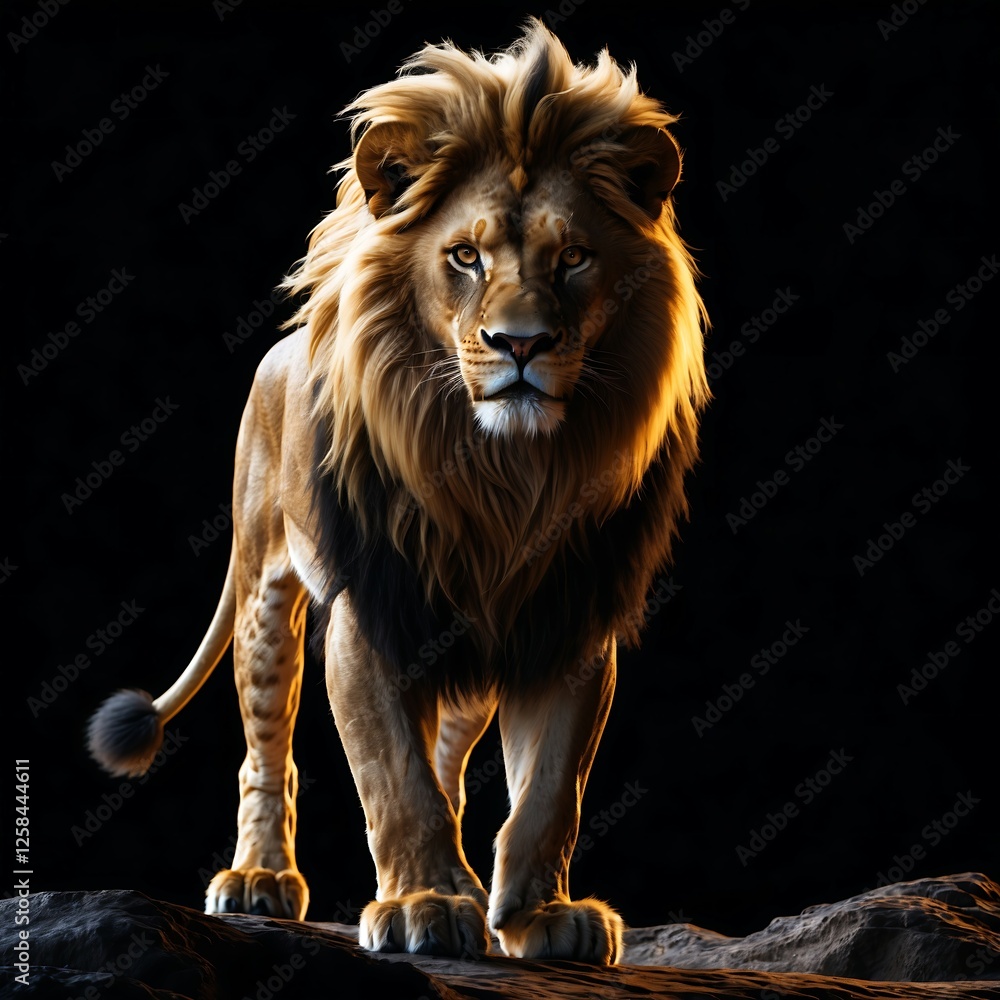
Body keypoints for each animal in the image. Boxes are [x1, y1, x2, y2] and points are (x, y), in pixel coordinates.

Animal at [86, 20, 708, 965]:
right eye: (464, 256)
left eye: (573, 259)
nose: (521, 345)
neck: (502, 476)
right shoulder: (373, 612)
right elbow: (393, 775)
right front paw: (422, 904)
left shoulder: (565, 618)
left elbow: (548, 789)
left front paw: (539, 914)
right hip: (265, 594)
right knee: (267, 749)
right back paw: (260, 879)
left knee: (451, 761)